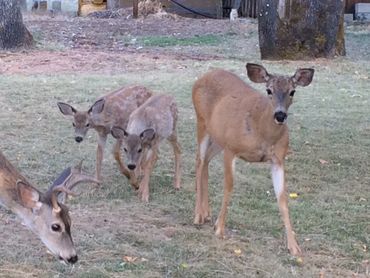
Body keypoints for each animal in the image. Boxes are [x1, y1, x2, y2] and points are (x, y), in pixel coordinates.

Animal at [192, 63, 314, 256]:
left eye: (292, 91)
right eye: (269, 90)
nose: (280, 115)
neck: (261, 132)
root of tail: (202, 77)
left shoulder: (278, 159)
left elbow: (282, 199)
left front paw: (294, 246)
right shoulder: (231, 148)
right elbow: (229, 187)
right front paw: (220, 229)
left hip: (218, 137)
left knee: (206, 162)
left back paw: (206, 213)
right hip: (202, 122)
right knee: (199, 161)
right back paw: (198, 215)